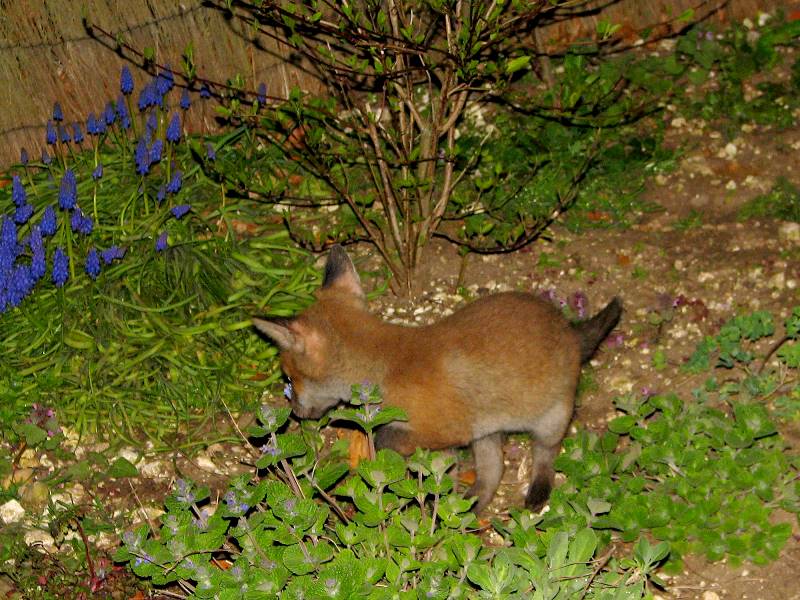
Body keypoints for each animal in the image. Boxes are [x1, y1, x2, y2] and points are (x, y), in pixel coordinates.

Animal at [253, 245, 622, 512]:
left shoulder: (445, 431)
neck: (387, 366)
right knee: (494, 472)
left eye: (290, 375)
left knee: (545, 455)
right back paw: (466, 509)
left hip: (549, 421)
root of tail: (569, 330)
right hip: (487, 432)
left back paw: (536, 491)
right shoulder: (461, 435)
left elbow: (386, 438)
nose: (295, 413)